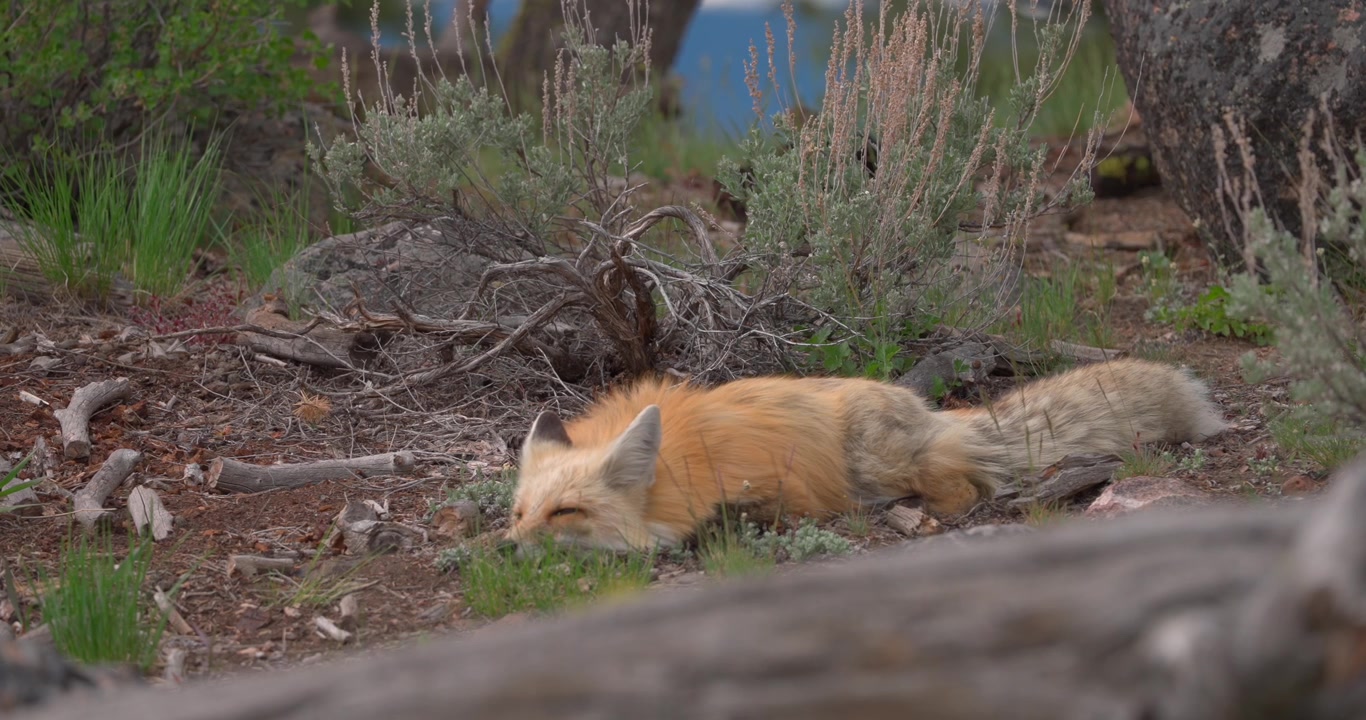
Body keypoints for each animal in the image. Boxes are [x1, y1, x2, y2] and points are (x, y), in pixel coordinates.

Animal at [509, 359, 1228, 551]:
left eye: (567, 512)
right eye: (519, 513)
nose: (504, 549)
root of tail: (927, 409)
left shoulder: (759, 489)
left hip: (881, 460)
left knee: (967, 486)